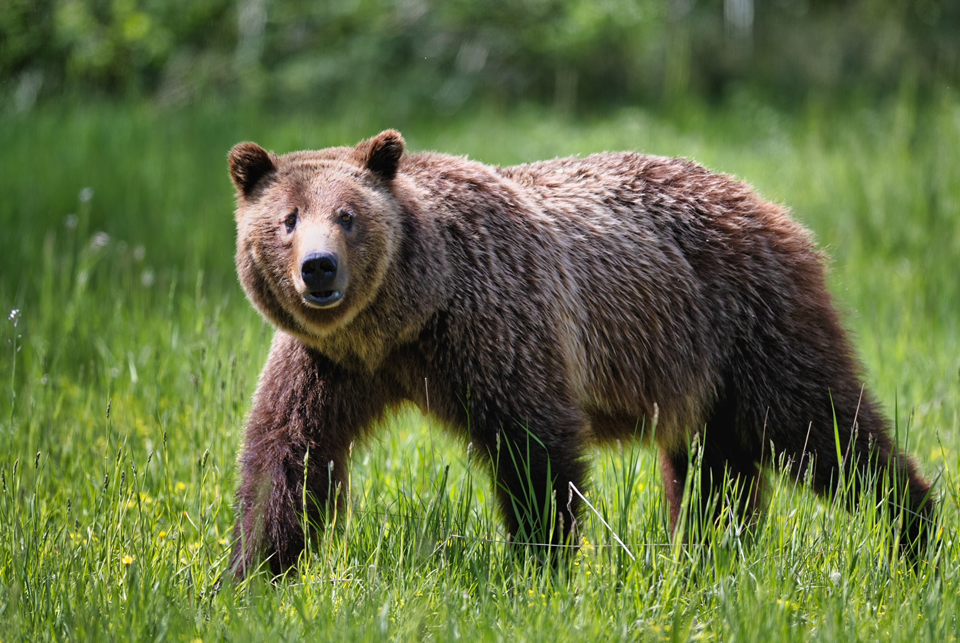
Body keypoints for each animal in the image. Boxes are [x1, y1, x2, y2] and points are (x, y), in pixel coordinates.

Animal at [227, 129, 934, 579]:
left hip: (749, 324)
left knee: (824, 430)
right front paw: (250, 572)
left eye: (348, 215)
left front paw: (541, 568)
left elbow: (533, 447)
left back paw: (914, 532)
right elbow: (288, 452)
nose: (319, 269)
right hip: (697, 372)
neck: (405, 316)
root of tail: (765, 201)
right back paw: (706, 557)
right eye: (288, 218)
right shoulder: (328, 361)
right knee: (715, 475)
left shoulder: (495, 325)